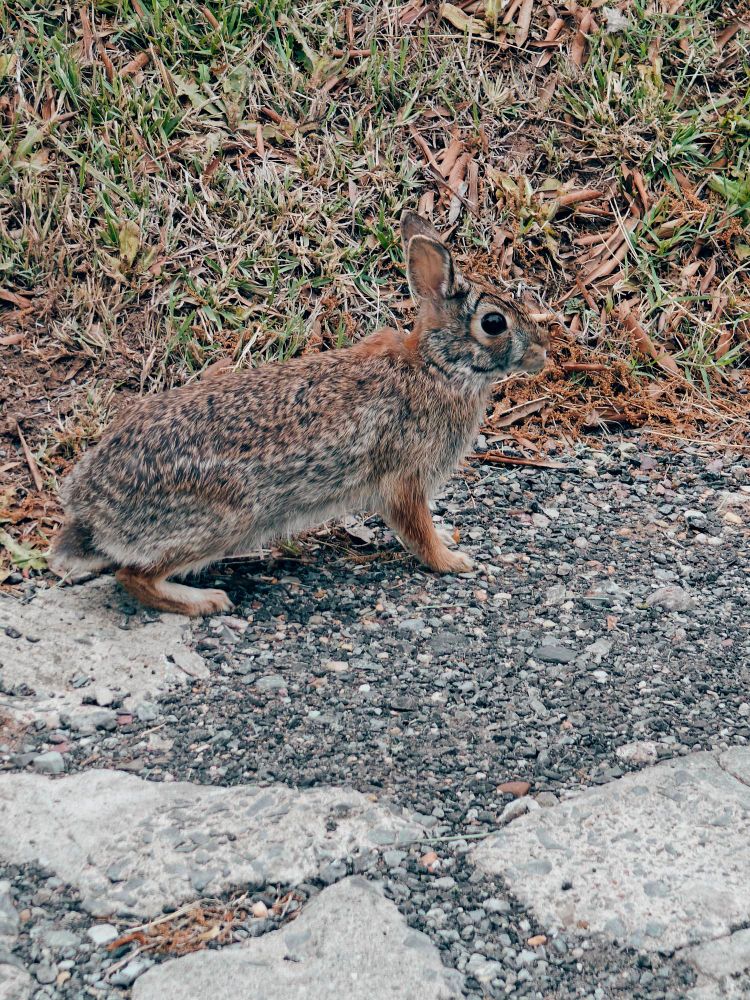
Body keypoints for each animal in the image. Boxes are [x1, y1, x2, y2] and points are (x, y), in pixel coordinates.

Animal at [50, 211, 549, 616]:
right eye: (493, 323)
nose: (542, 353)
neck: (438, 366)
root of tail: (90, 509)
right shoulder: (402, 479)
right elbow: (416, 529)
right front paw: (453, 562)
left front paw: (452, 541)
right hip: (226, 519)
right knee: (132, 575)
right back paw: (206, 601)